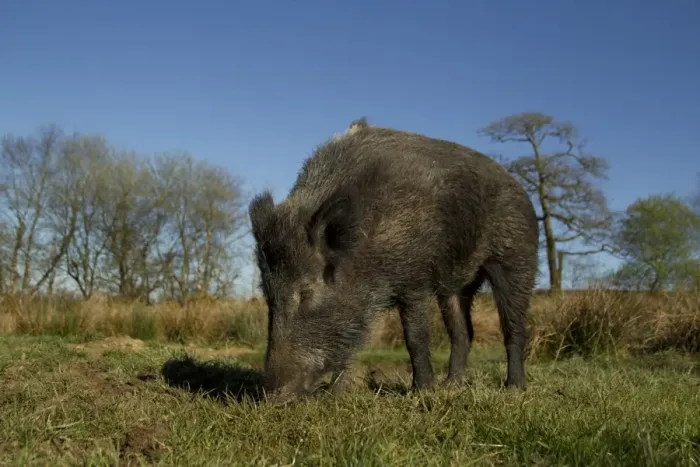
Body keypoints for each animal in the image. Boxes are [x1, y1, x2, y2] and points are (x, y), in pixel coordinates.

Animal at [249, 118, 539, 403]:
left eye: (306, 293)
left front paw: (422, 392)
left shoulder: (416, 279)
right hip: (457, 286)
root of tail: (520, 188)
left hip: (517, 260)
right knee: (463, 332)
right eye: (267, 294)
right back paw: (451, 385)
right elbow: (353, 342)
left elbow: (414, 337)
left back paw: (514, 388)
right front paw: (334, 395)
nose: (270, 398)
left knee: (513, 328)